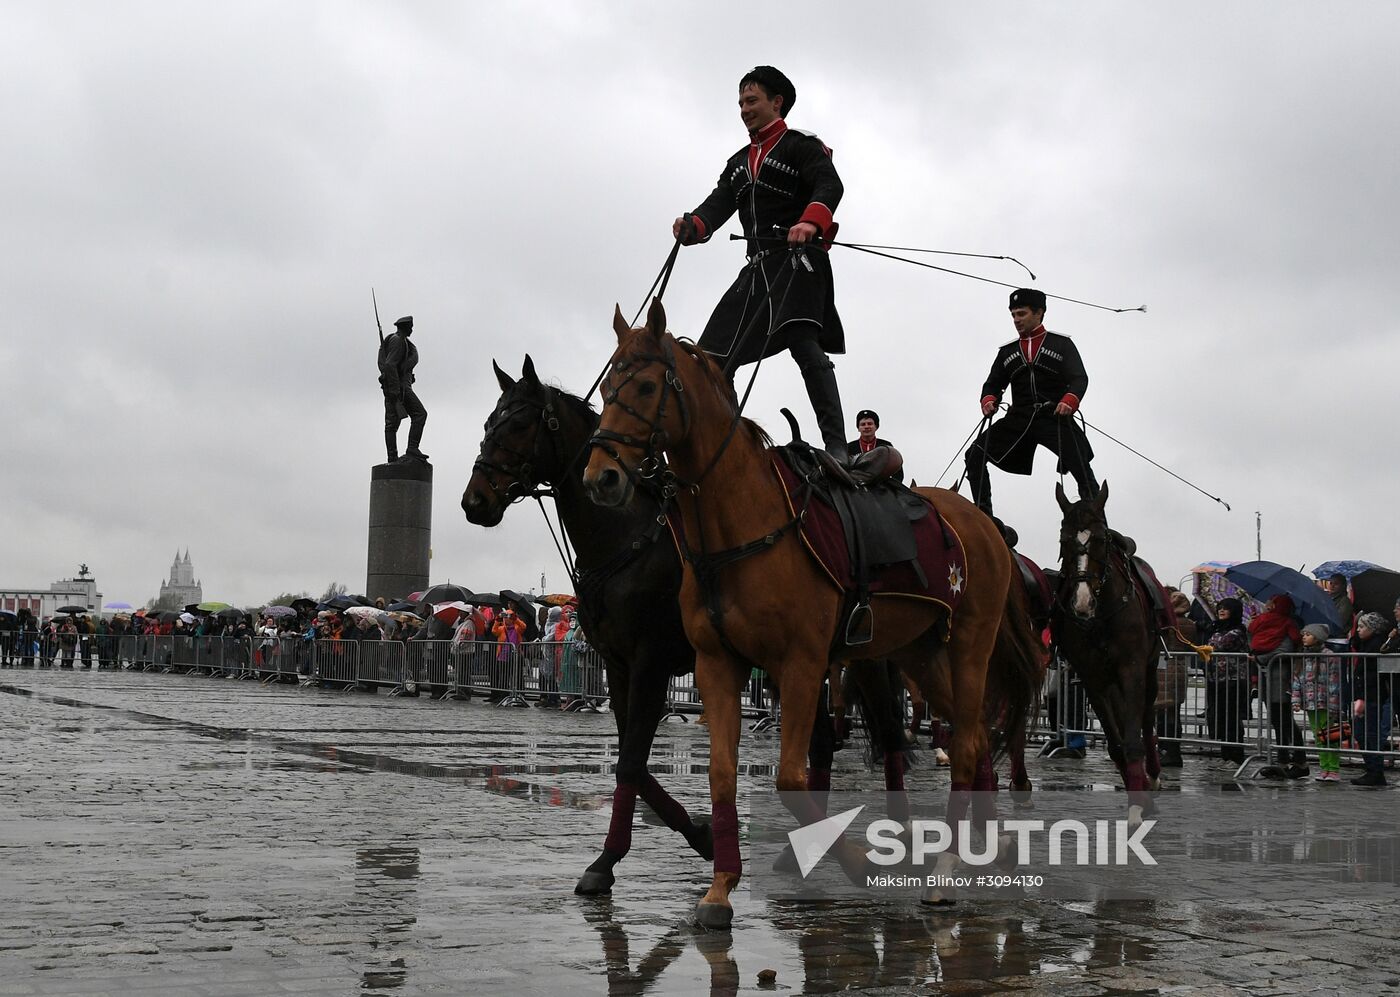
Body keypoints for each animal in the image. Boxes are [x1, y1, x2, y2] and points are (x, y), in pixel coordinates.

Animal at [576, 302, 1041, 924]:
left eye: (647, 386)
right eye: (606, 389)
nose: (600, 478)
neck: (742, 525)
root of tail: (986, 526)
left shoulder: (799, 665)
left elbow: (794, 779)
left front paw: (858, 863)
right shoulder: (716, 664)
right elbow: (722, 774)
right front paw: (720, 886)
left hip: (969, 646)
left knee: (967, 744)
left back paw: (945, 871)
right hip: (919, 656)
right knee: (974, 740)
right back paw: (980, 847)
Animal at [1052, 478, 1164, 823]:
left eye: (1101, 539)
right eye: (1064, 539)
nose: (1082, 601)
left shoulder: (1132, 669)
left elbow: (1132, 737)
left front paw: (1139, 803)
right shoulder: (1093, 679)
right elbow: (1116, 743)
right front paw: (1137, 796)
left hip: (1149, 671)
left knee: (1146, 717)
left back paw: (1153, 775)